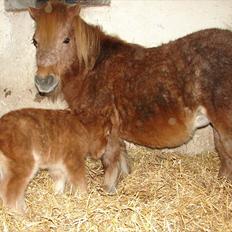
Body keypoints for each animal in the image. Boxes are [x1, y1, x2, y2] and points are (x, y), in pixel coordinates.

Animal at [29, 2, 232, 190]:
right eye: (35, 41)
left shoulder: (105, 127)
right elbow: (121, 156)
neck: (93, 70)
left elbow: (110, 159)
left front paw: (108, 188)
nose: (43, 81)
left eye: (66, 40)